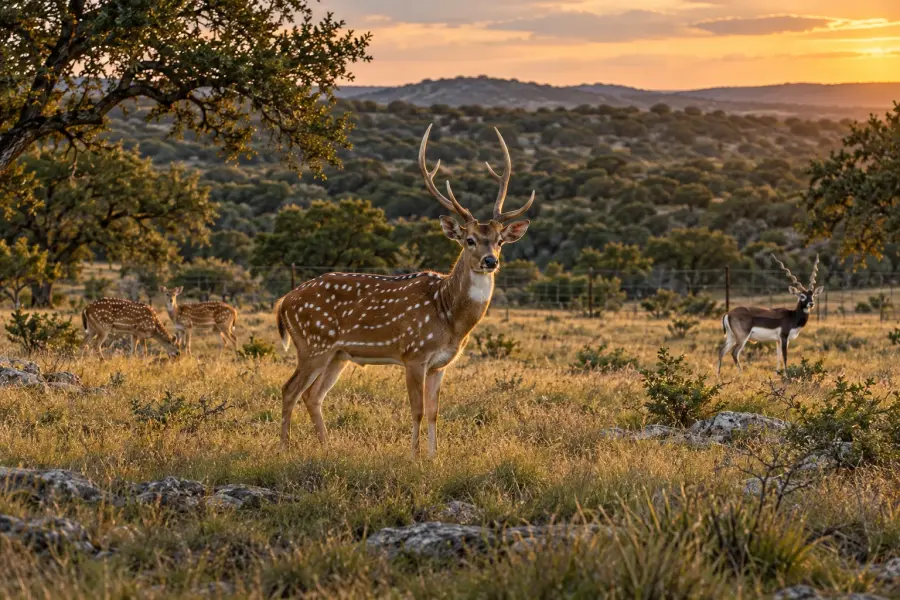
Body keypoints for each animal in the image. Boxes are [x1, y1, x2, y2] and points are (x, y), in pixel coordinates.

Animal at [274, 123, 534, 458]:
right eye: (470, 240)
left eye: (500, 240)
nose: (490, 260)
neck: (449, 316)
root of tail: (283, 302)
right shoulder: (414, 353)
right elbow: (417, 410)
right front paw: (413, 456)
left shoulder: (440, 364)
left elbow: (435, 411)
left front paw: (435, 456)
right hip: (312, 344)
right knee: (289, 389)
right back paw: (284, 448)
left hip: (337, 354)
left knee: (313, 396)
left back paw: (326, 447)